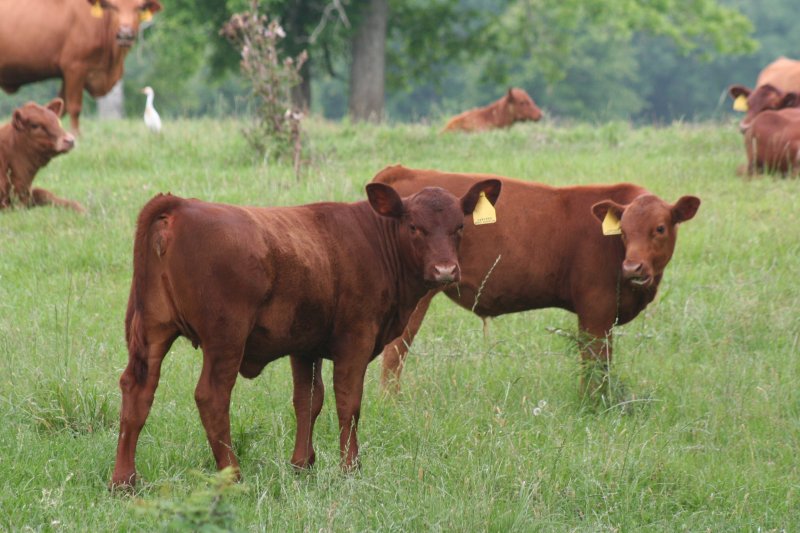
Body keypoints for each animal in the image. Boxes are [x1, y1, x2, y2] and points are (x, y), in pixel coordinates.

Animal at [0, 0, 163, 133]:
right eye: (113, 6)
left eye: (140, 7)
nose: (125, 33)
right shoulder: (75, 68)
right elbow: (74, 107)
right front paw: (76, 136)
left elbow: (60, 107)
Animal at [110, 179, 502, 489]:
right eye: (415, 227)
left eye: (459, 227)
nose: (445, 270)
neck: (375, 242)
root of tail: (180, 204)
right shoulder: (356, 340)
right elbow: (348, 403)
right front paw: (350, 467)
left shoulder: (305, 345)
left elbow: (308, 400)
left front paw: (302, 465)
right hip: (225, 338)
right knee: (212, 396)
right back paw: (233, 475)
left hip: (151, 331)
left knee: (138, 390)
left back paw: (124, 480)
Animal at [372, 166, 700, 397]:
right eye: (625, 232)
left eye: (660, 228)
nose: (633, 267)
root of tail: (404, 170)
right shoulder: (596, 310)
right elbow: (595, 363)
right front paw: (592, 403)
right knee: (394, 353)